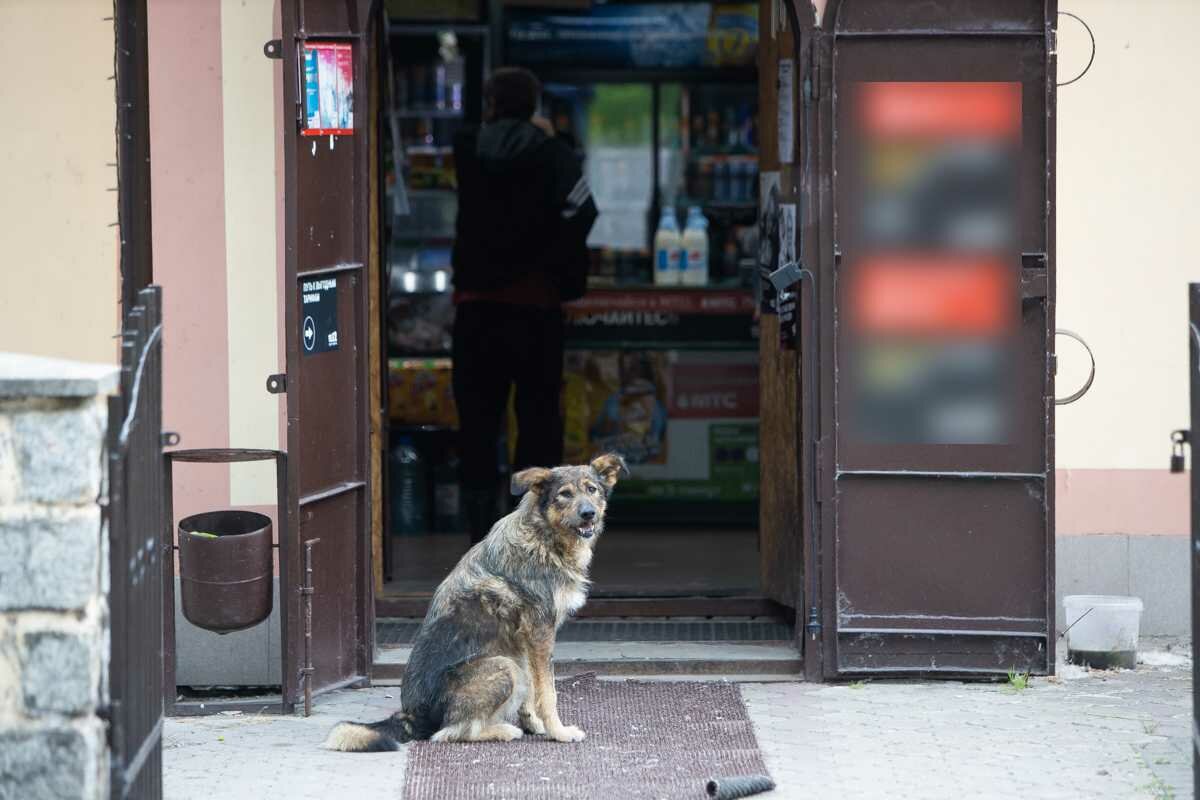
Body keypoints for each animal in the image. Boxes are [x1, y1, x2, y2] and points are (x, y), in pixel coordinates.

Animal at [324, 453, 633, 753]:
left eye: (592, 490)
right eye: (565, 494)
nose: (588, 513)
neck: (543, 535)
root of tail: (411, 717)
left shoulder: (526, 642)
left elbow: (532, 691)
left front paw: (535, 724)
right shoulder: (540, 633)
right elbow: (548, 692)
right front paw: (558, 732)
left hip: (511, 662)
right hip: (504, 666)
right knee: (448, 733)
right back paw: (502, 730)